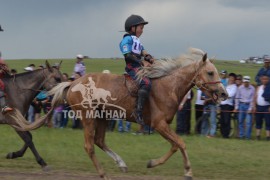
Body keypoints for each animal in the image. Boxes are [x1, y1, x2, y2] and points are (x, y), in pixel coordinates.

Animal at [45, 48, 227, 180]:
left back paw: (121, 163)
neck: (169, 87)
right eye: (210, 72)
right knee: (89, 146)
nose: (224, 93)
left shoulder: (163, 126)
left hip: (103, 116)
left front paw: (152, 163)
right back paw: (103, 174)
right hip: (88, 117)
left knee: (99, 141)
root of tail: (72, 83)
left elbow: (175, 145)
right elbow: (181, 143)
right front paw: (188, 171)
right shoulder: (159, 124)